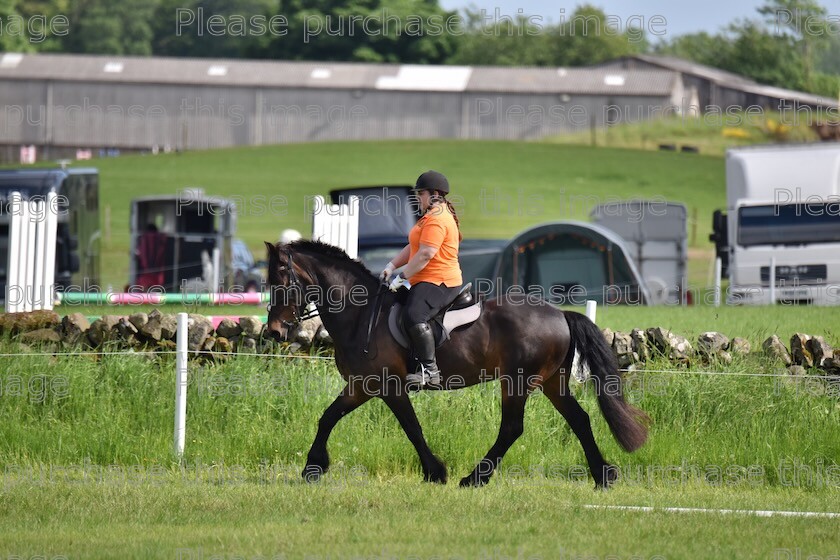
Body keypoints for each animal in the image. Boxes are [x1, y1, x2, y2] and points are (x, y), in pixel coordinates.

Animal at [262, 238, 648, 488]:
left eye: (283, 282)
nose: (275, 331)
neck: (360, 315)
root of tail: (560, 314)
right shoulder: (360, 385)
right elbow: (328, 417)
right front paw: (313, 467)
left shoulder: (387, 386)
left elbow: (411, 428)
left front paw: (435, 472)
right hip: (552, 381)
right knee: (579, 420)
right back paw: (603, 476)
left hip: (518, 382)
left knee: (512, 428)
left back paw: (474, 478)